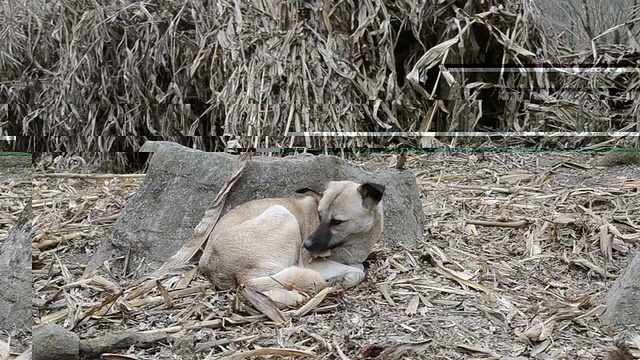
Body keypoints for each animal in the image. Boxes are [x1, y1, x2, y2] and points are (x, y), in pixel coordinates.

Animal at [198, 181, 384, 308]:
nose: (306, 245)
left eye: (337, 222)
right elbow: (359, 270)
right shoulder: (312, 264)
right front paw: (341, 279)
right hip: (282, 214)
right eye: (319, 215)